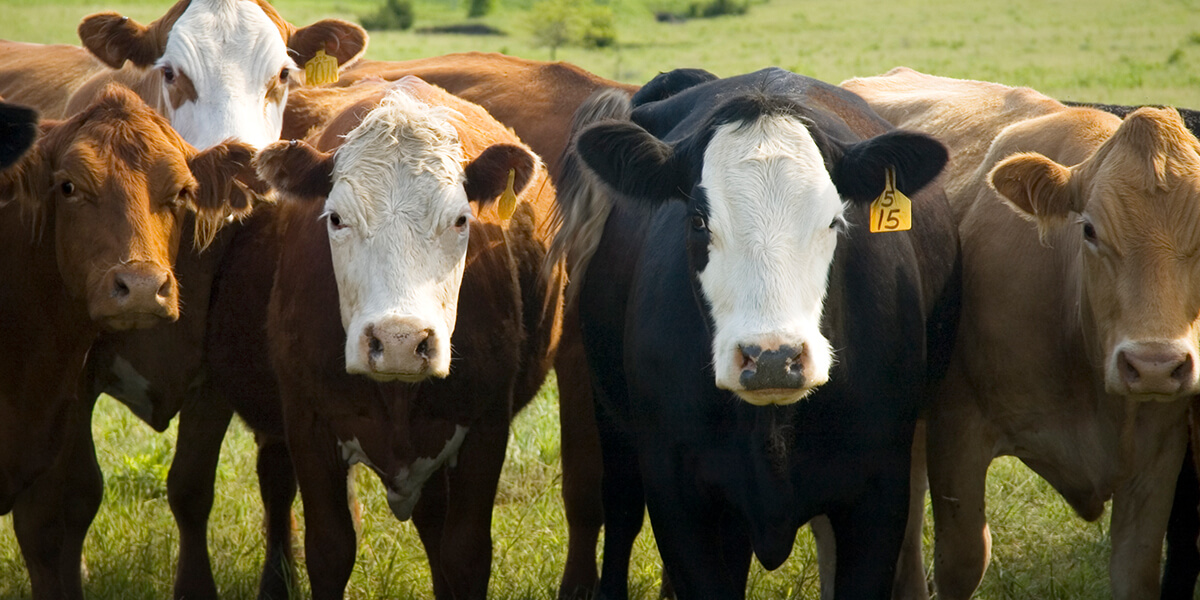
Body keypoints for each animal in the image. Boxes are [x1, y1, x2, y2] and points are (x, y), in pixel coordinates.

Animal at [556, 66, 960, 600]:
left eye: (835, 220)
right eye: (698, 221)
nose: (772, 358)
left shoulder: (880, 491)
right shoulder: (676, 492)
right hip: (612, 421)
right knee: (621, 511)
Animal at [840, 65, 1200, 600]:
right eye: (1088, 230)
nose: (1154, 366)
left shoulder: (1160, 454)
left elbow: (1136, 571)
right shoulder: (958, 429)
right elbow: (963, 559)